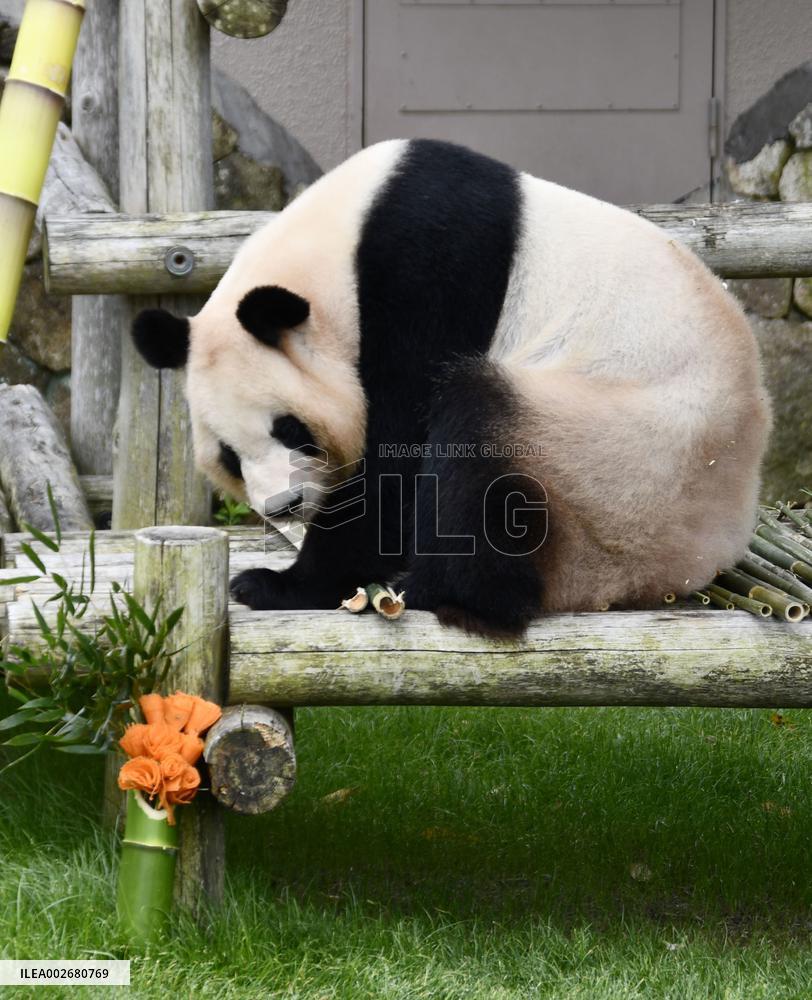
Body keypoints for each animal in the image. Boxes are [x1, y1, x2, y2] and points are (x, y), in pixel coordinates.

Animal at [132, 138, 771, 636]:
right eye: (229, 457)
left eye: (290, 428)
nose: (282, 506)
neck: (337, 246)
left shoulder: (426, 270)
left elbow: (399, 448)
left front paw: (278, 584)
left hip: (623, 464)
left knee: (478, 431)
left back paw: (443, 590)